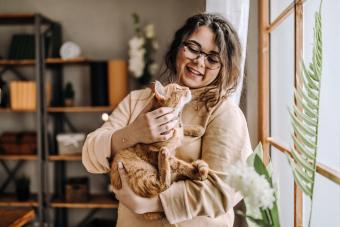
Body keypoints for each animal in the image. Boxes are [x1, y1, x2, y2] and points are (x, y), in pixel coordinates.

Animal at [110, 81, 209, 220]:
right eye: (178, 88)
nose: (188, 88)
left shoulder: (178, 129)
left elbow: (184, 127)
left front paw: (197, 129)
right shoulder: (153, 152)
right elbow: (180, 164)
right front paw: (192, 170)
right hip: (143, 174)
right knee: (162, 185)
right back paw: (165, 156)